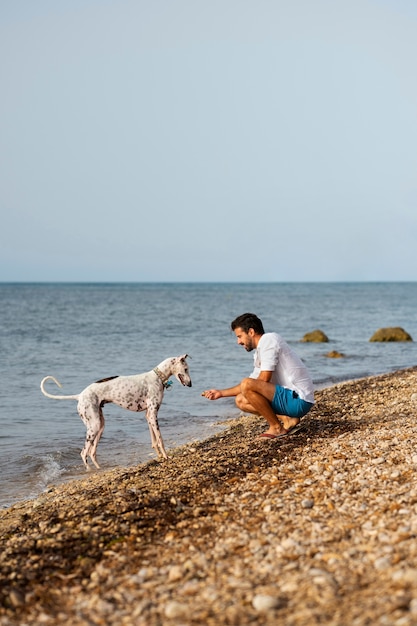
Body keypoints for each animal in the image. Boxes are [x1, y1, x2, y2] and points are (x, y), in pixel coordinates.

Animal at [39, 356, 192, 468]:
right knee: (84, 453)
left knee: (92, 452)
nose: (191, 384)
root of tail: (80, 395)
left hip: (100, 425)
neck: (157, 377)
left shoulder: (149, 415)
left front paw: (159, 456)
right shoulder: (153, 414)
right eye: (185, 369)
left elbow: (154, 440)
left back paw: (99, 469)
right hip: (93, 426)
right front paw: (166, 456)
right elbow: (160, 439)